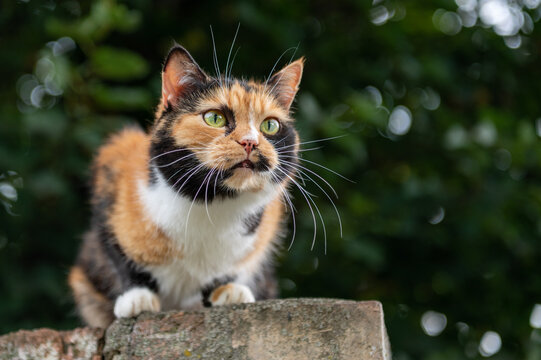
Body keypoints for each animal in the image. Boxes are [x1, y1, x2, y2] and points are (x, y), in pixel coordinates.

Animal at [68, 43, 304, 328]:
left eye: (270, 125)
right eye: (214, 118)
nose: (250, 141)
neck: (209, 203)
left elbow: (237, 266)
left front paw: (229, 290)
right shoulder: (113, 167)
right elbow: (117, 255)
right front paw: (137, 297)